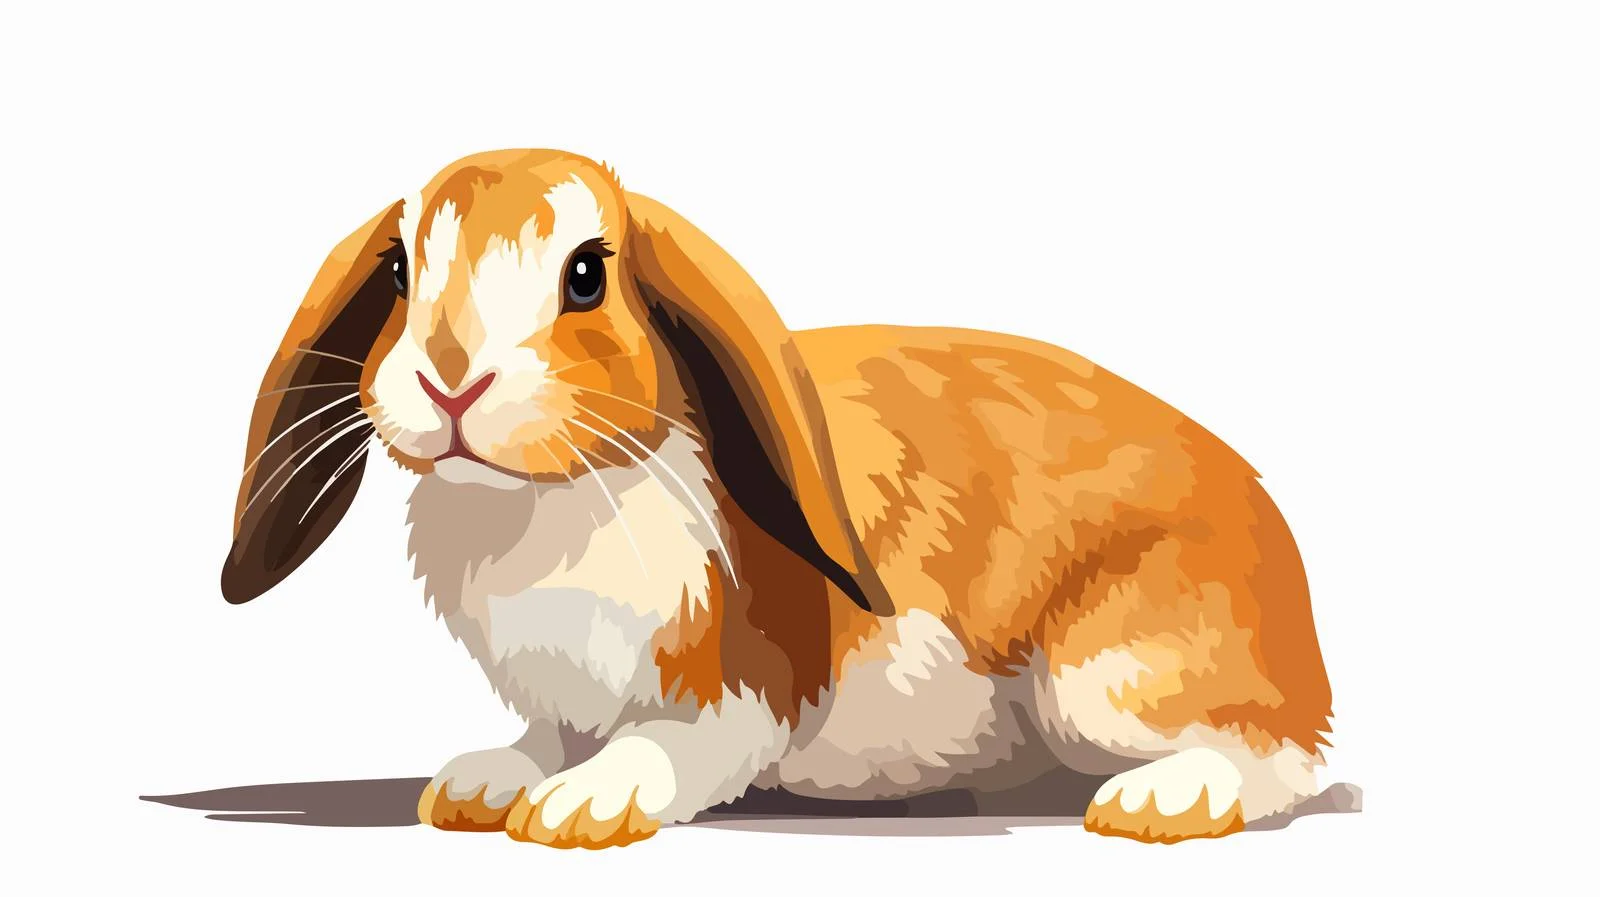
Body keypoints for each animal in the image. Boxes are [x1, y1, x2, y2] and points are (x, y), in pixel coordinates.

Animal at [222, 149, 1334, 847]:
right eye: (398, 269)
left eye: (585, 274)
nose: (451, 382)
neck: (552, 500)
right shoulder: (563, 690)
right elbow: (549, 734)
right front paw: (481, 781)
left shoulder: (740, 685)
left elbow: (671, 744)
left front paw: (584, 807)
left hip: (1107, 678)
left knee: (1275, 757)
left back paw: (1161, 800)